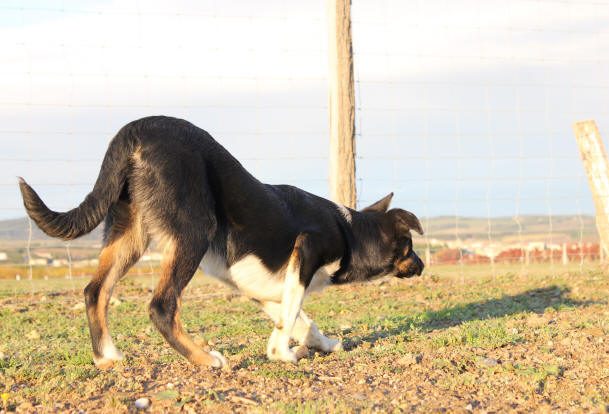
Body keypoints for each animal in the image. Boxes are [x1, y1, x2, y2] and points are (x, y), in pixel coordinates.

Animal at [17, 115, 422, 368]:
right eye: (410, 247)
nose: (421, 264)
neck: (348, 230)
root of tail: (136, 129)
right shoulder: (305, 252)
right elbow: (293, 312)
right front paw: (283, 354)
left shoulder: (258, 285)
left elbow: (300, 319)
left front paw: (323, 344)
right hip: (193, 231)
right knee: (161, 306)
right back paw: (206, 359)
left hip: (130, 233)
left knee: (95, 291)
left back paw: (107, 356)